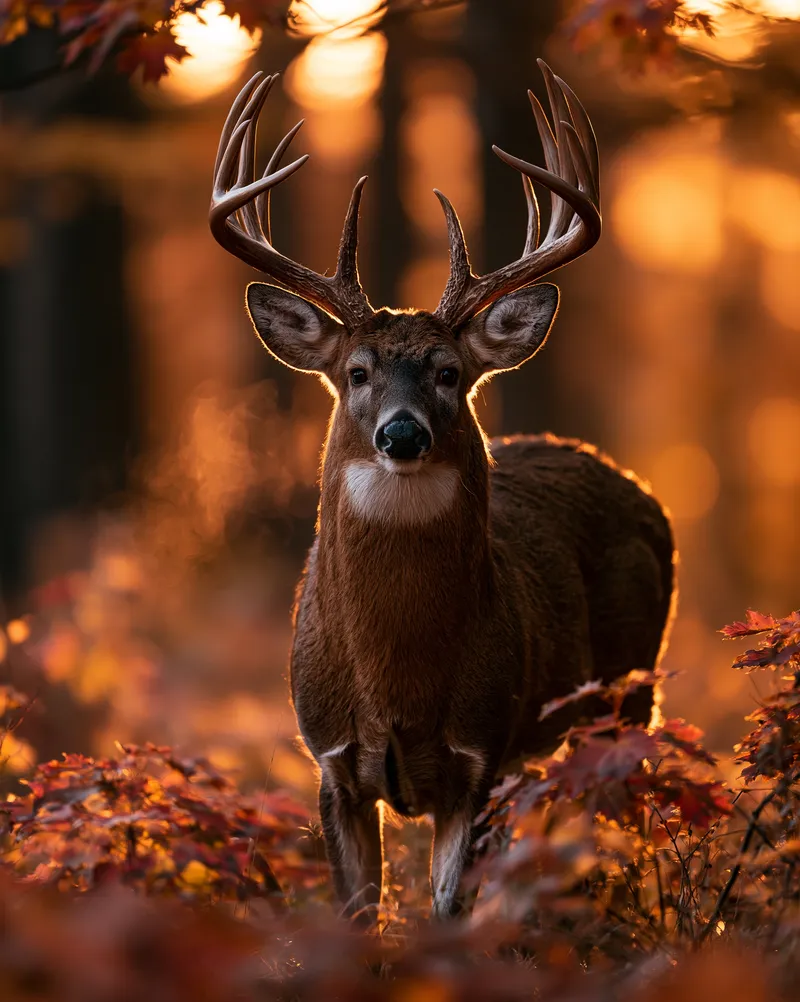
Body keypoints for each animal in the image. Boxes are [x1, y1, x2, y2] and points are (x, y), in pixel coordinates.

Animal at [209, 62, 675, 923]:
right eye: (357, 372)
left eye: (450, 373)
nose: (402, 435)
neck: (398, 679)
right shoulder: (330, 760)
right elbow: (359, 915)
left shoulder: (481, 752)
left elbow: (448, 911)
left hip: (627, 695)